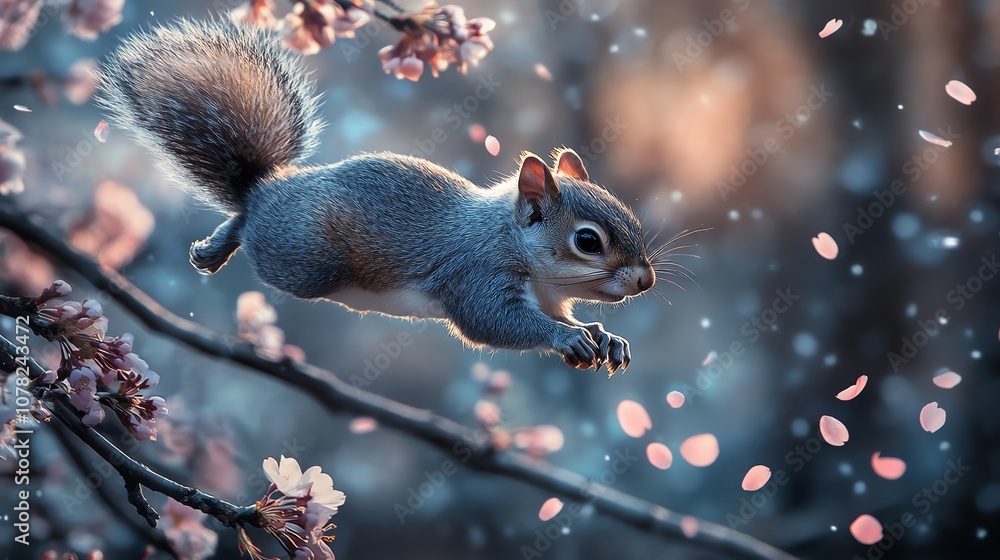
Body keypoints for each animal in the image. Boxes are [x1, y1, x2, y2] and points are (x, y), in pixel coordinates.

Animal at [97, 19, 655, 375]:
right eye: (588, 241)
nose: (646, 281)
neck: (515, 244)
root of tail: (264, 185)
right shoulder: (477, 273)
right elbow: (493, 322)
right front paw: (566, 337)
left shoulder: (548, 296)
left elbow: (565, 316)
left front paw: (603, 335)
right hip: (303, 258)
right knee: (249, 226)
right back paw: (221, 242)